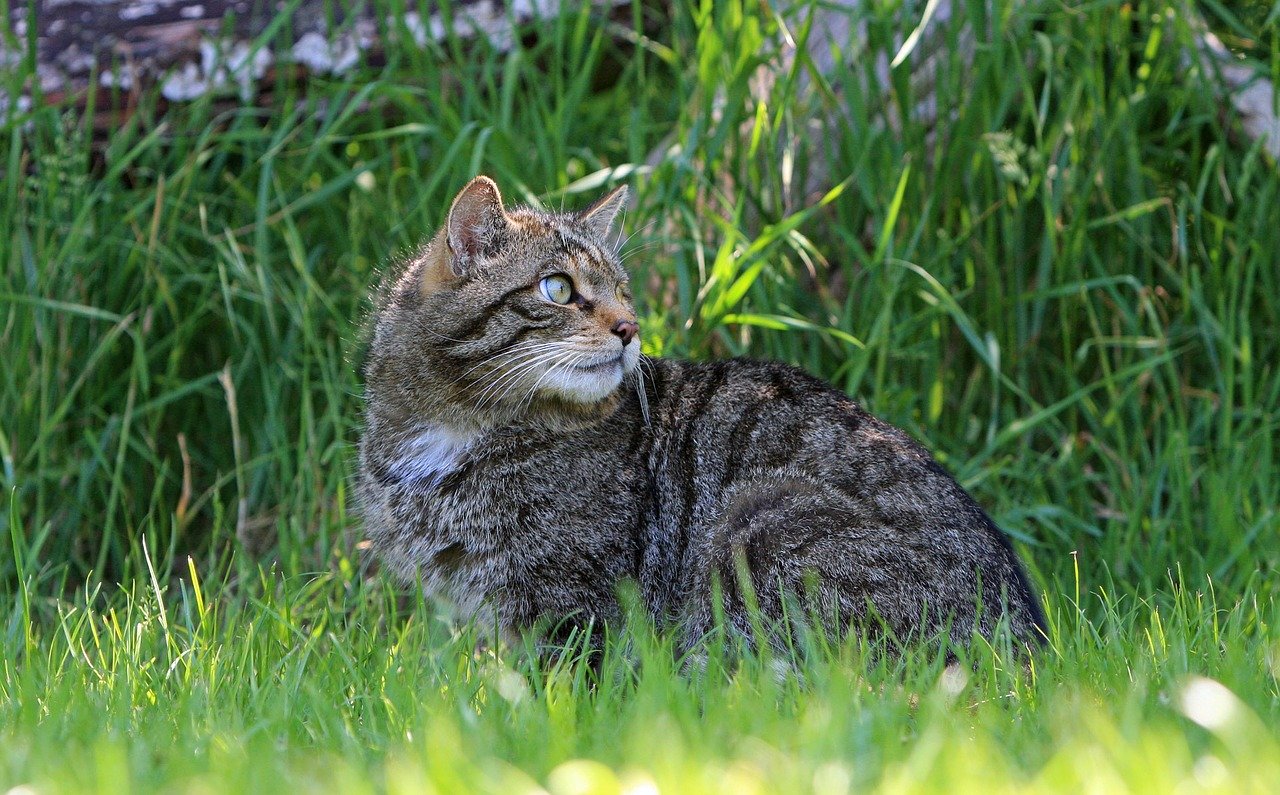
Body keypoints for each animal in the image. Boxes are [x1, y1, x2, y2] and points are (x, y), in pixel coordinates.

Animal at [355, 176, 1044, 655]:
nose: (630, 327)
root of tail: (1023, 654)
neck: (454, 431)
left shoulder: (574, 602)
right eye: (558, 288)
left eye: (622, 291)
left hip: (764, 522)